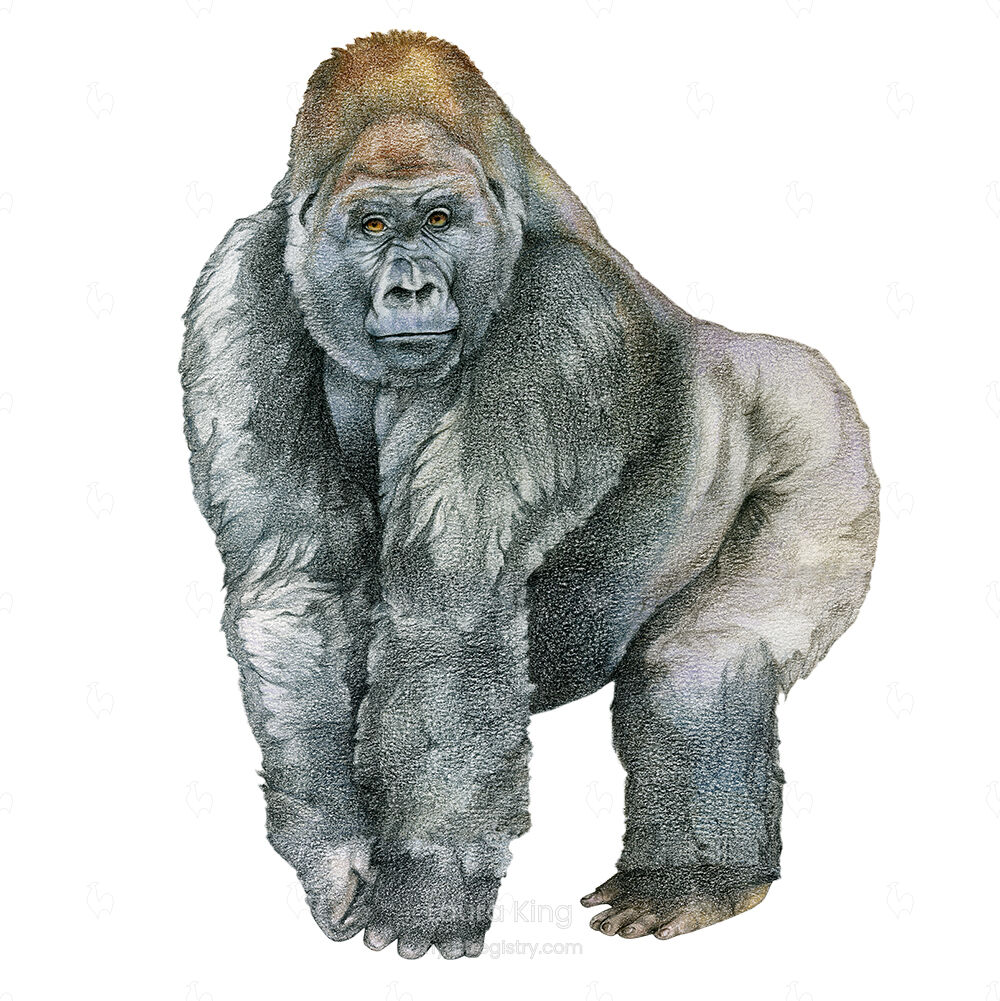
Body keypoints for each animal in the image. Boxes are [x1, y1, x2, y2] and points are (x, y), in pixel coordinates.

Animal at [181, 31, 879, 960]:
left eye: (441, 220)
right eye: (374, 226)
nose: (410, 288)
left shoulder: (561, 316)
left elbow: (450, 613)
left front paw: (429, 893)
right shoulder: (236, 286)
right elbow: (294, 583)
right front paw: (334, 855)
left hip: (823, 433)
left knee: (700, 659)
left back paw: (696, 881)